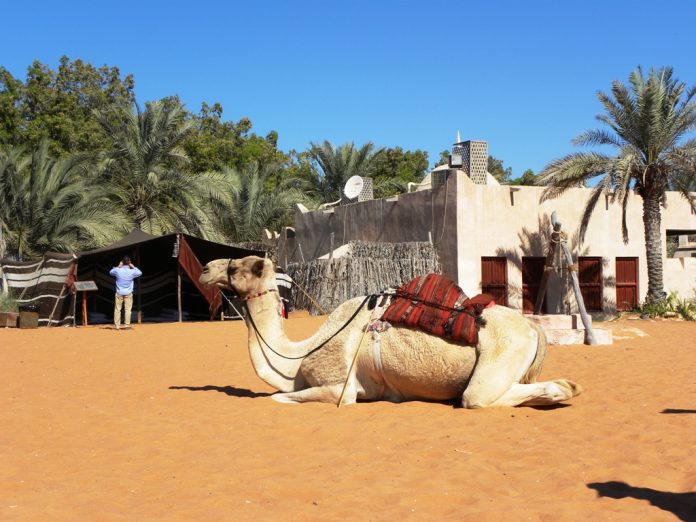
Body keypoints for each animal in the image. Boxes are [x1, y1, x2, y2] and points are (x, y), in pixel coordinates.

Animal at [200, 256, 580, 406]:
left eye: (236, 267)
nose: (205, 268)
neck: (297, 357)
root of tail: (533, 327)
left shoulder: (340, 388)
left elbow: (278, 398)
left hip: (500, 356)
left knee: (477, 397)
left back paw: (565, 388)